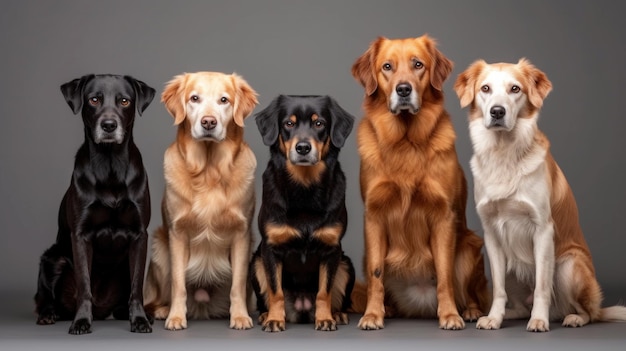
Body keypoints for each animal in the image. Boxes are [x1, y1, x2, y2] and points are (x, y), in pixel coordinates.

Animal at [34, 75, 156, 336]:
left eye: (124, 101)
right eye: (94, 99)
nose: (109, 125)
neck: (110, 164)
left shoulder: (139, 235)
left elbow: (137, 287)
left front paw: (140, 319)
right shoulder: (80, 235)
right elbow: (84, 285)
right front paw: (81, 321)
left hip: (122, 268)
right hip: (53, 259)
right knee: (45, 297)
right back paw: (49, 314)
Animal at [250, 95, 356, 332]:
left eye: (319, 123)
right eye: (289, 123)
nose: (303, 148)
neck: (304, 187)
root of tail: (301, 307)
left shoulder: (331, 250)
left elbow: (324, 292)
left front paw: (325, 319)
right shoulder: (270, 250)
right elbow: (276, 292)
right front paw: (274, 320)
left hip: (346, 264)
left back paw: (337, 314)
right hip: (256, 262)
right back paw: (265, 315)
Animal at [454, 58, 624, 332]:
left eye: (515, 89)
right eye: (485, 89)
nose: (497, 112)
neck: (504, 153)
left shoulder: (543, 229)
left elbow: (542, 287)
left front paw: (539, 320)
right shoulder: (492, 234)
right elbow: (498, 289)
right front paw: (494, 317)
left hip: (568, 265)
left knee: (588, 312)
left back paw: (572, 318)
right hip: (512, 267)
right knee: (520, 304)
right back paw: (508, 314)